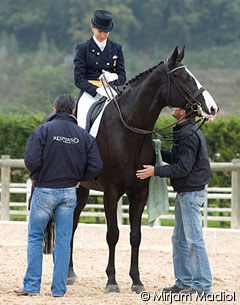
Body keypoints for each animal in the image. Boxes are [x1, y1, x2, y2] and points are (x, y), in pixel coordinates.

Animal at [66, 45, 218, 292]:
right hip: (76, 187)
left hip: (84, 189)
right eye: (184, 77)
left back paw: (69, 272)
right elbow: (112, 234)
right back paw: (67, 273)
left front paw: (136, 281)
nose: (212, 108)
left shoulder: (140, 192)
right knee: (70, 223)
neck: (128, 129)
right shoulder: (111, 191)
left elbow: (135, 236)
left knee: (71, 223)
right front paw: (111, 281)